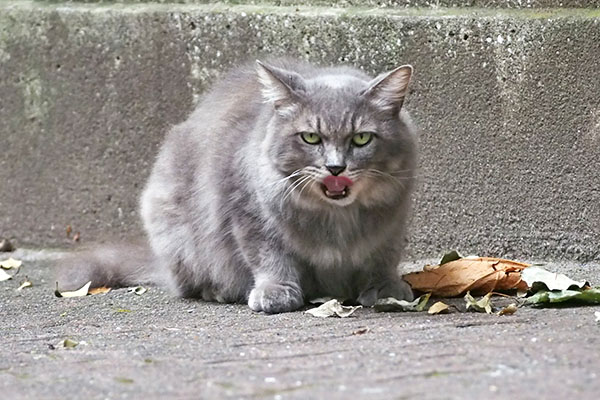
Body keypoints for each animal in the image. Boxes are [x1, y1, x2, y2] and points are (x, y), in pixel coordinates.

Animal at [58, 57, 420, 314]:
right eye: (310, 137)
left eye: (361, 138)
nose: (335, 167)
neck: (336, 218)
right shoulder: (247, 213)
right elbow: (270, 258)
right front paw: (276, 293)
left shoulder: (392, 222)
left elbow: (382, 257)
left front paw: (387, 289)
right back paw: (218, 291)